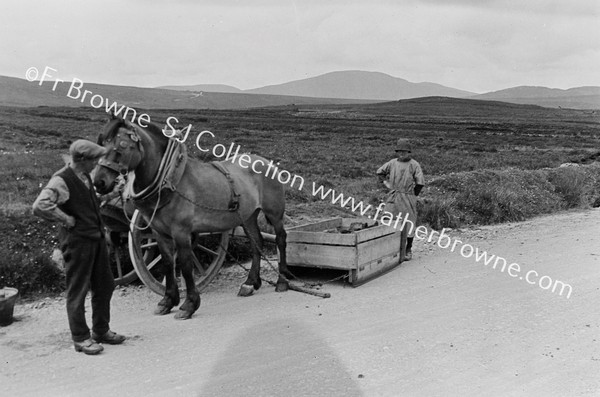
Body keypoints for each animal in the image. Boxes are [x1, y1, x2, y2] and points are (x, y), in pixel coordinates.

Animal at [93, 114, 290, 318]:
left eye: (122, 146)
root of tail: (264, 161)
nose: (98, 182)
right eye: (101, 143)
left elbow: (186, 266)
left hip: (274, 212)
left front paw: (189, 304)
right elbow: (168, 263)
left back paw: (282, 281)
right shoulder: (159, 233)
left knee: (281, 238)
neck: (170, 180)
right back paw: (250, 283)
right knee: (256, 241)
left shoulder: (182, 232)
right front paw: (167, 301)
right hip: (248, 216)